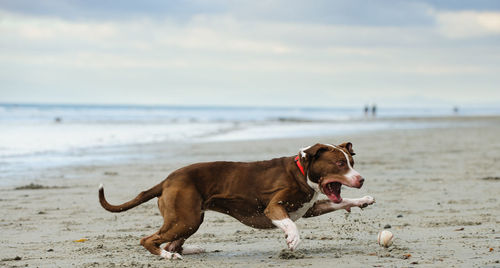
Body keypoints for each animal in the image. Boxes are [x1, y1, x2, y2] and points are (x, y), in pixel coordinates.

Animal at [99, 143, 376, 258]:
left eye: (352, 162)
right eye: (339, 164)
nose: (361, 179)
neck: (301, 171)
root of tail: (166, 180)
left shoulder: (311, 207)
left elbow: (342, 202)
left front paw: (363, 199)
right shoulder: (274, 208)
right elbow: (290, 224)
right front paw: (293, 238)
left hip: (190, 220)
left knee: (171, 242)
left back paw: (185, 251)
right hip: (186, 218)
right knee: (150, 240)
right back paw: (166, 257)